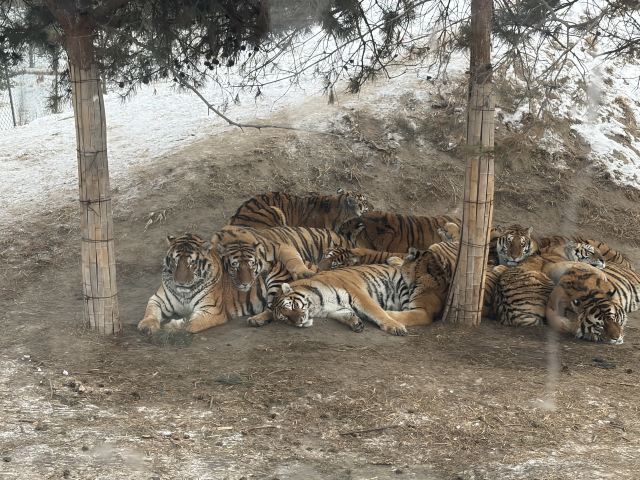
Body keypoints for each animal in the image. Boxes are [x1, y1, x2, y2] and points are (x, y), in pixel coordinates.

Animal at [137, 233, 293, 334]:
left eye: (191, 263)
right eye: (175, 261)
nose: (180, 282)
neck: (184, 293)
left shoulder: (211, 310)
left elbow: (189, 323)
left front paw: (171, 327)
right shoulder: (158, 299)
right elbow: (150, 311)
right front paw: (146, 325)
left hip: (274, 283)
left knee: (273, 309)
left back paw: (256, 319)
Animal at [248, 264, 411, 336]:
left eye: (293, 305)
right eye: (285, 318)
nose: (299, 321)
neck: (318, 305)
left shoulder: (360, 295)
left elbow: (378, 312)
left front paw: (396, 327)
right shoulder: (334, 310)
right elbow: (345, 315)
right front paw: (356, 323)